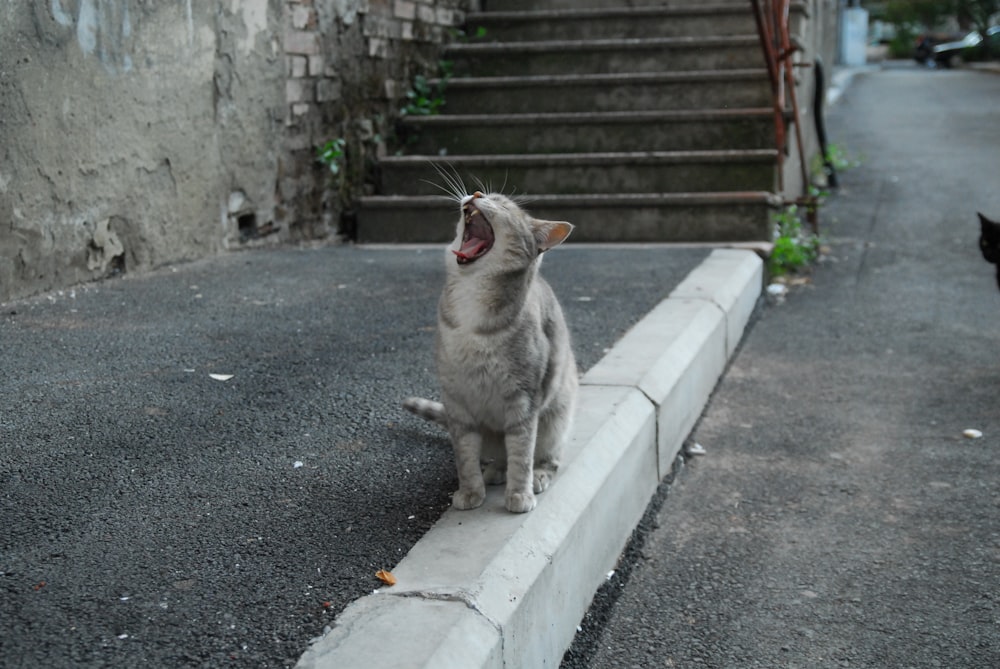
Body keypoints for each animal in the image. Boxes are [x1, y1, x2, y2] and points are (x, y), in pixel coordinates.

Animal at [406, 190, 580, 516]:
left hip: (555, 420)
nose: (475, 194)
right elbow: (465, 458)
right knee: (499, 455)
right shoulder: (456, 403)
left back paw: (538, 474)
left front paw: (520, 493)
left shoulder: (524, 401)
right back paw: (495, 471)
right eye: (486, 194)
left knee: (546, 457)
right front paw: (471, 492)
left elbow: (522, 453)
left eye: (501, 203)